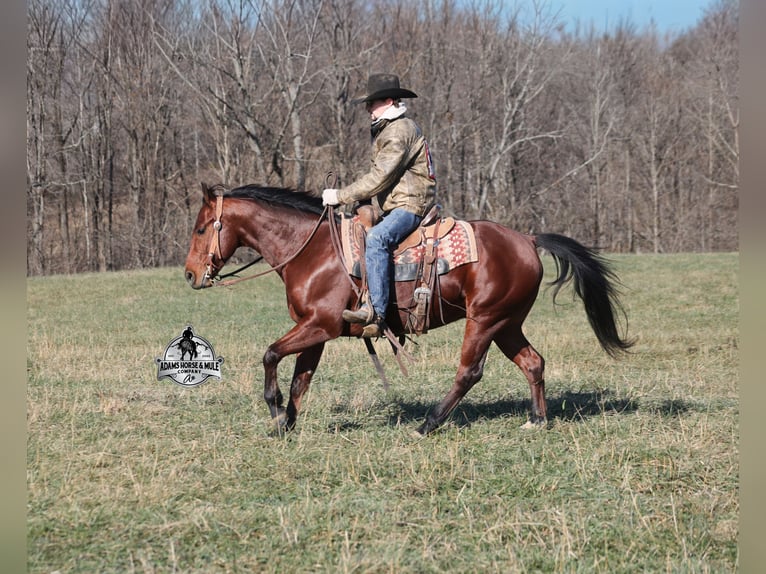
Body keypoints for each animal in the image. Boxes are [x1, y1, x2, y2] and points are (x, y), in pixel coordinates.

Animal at [184, 183, 633, 435]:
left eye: (201, 228)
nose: (190, 274)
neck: (314, 251)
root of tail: (528, 239)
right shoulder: (316, 331)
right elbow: (300, 380)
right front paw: (285, 423)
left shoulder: (319, 326)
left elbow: (271, 355)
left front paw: (274, 409)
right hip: (507, 323)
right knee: (533, 362)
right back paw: (536, 420)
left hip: (485, 320)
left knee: (469, 372)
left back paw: (428, 424)